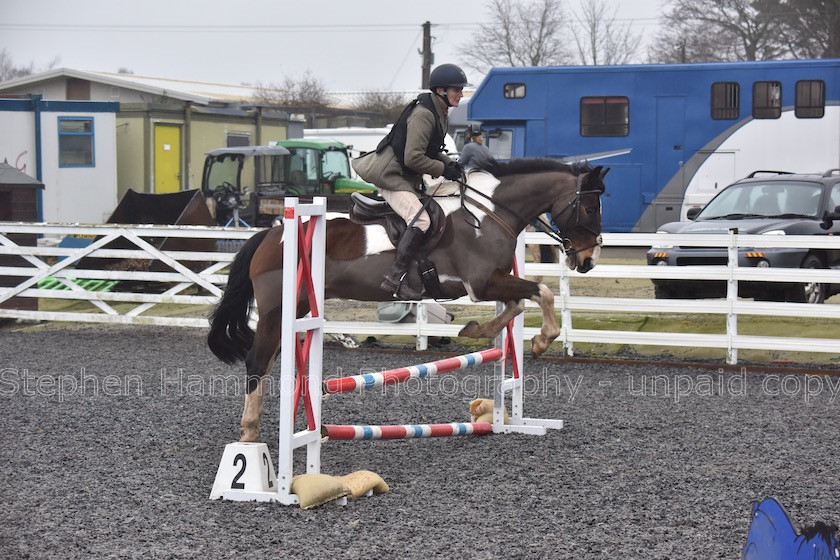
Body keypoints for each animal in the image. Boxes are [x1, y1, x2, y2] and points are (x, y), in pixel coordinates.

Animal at [207, 159, 608, 442]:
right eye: (590, 209)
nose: (588, 261)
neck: (489, 213)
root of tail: (268, 235)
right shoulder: (482, 283)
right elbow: (540, 293)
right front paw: (541, 341)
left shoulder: (491, 282)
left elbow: (518, 305)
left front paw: (476, 329)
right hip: (278, 310)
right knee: (257, 362)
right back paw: (250, 435)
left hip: (298, 308)